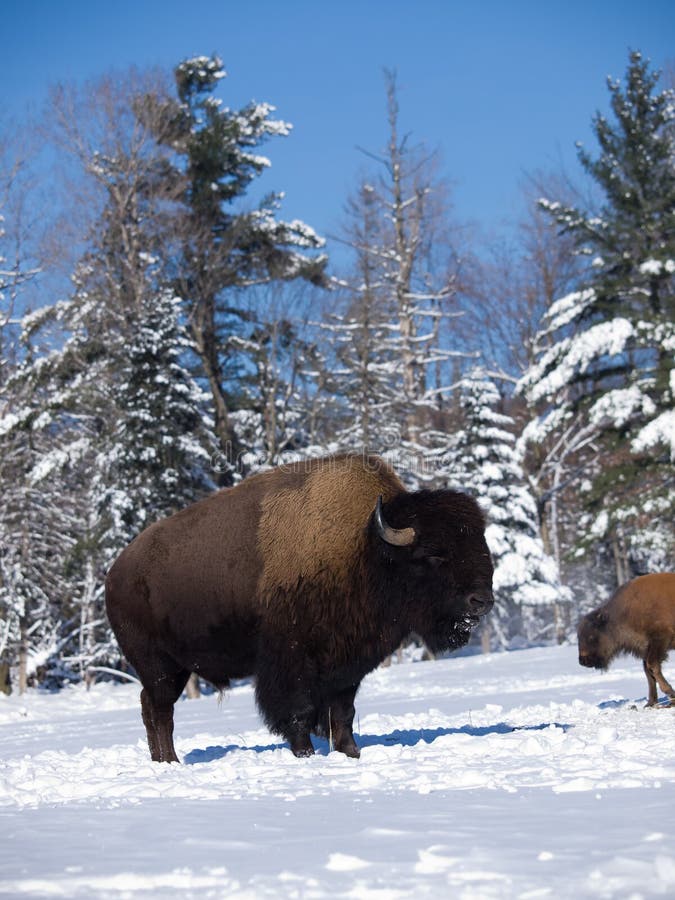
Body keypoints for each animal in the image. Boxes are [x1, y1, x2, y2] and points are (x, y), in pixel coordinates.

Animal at [105, 453, 494, 762]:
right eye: (434, 554)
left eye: (481, 543)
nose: (482, 601)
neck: (365, 546)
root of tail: (115, 575)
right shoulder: (291, 661)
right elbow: (299, 711)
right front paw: (305, 753)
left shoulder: (347, 663)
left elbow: (343, 712)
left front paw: (350, 753)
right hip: (159, 666)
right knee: (160, 710)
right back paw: (171, 762)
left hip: (174, 669)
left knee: (151, 707)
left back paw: (162, 761)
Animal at [577, 573, 675, 707]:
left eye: (592, 637)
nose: (583, 660)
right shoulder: (646, 647)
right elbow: (648, 672)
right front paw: (650, 703)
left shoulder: (659, 640)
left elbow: (652, 666)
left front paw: (671, 694)